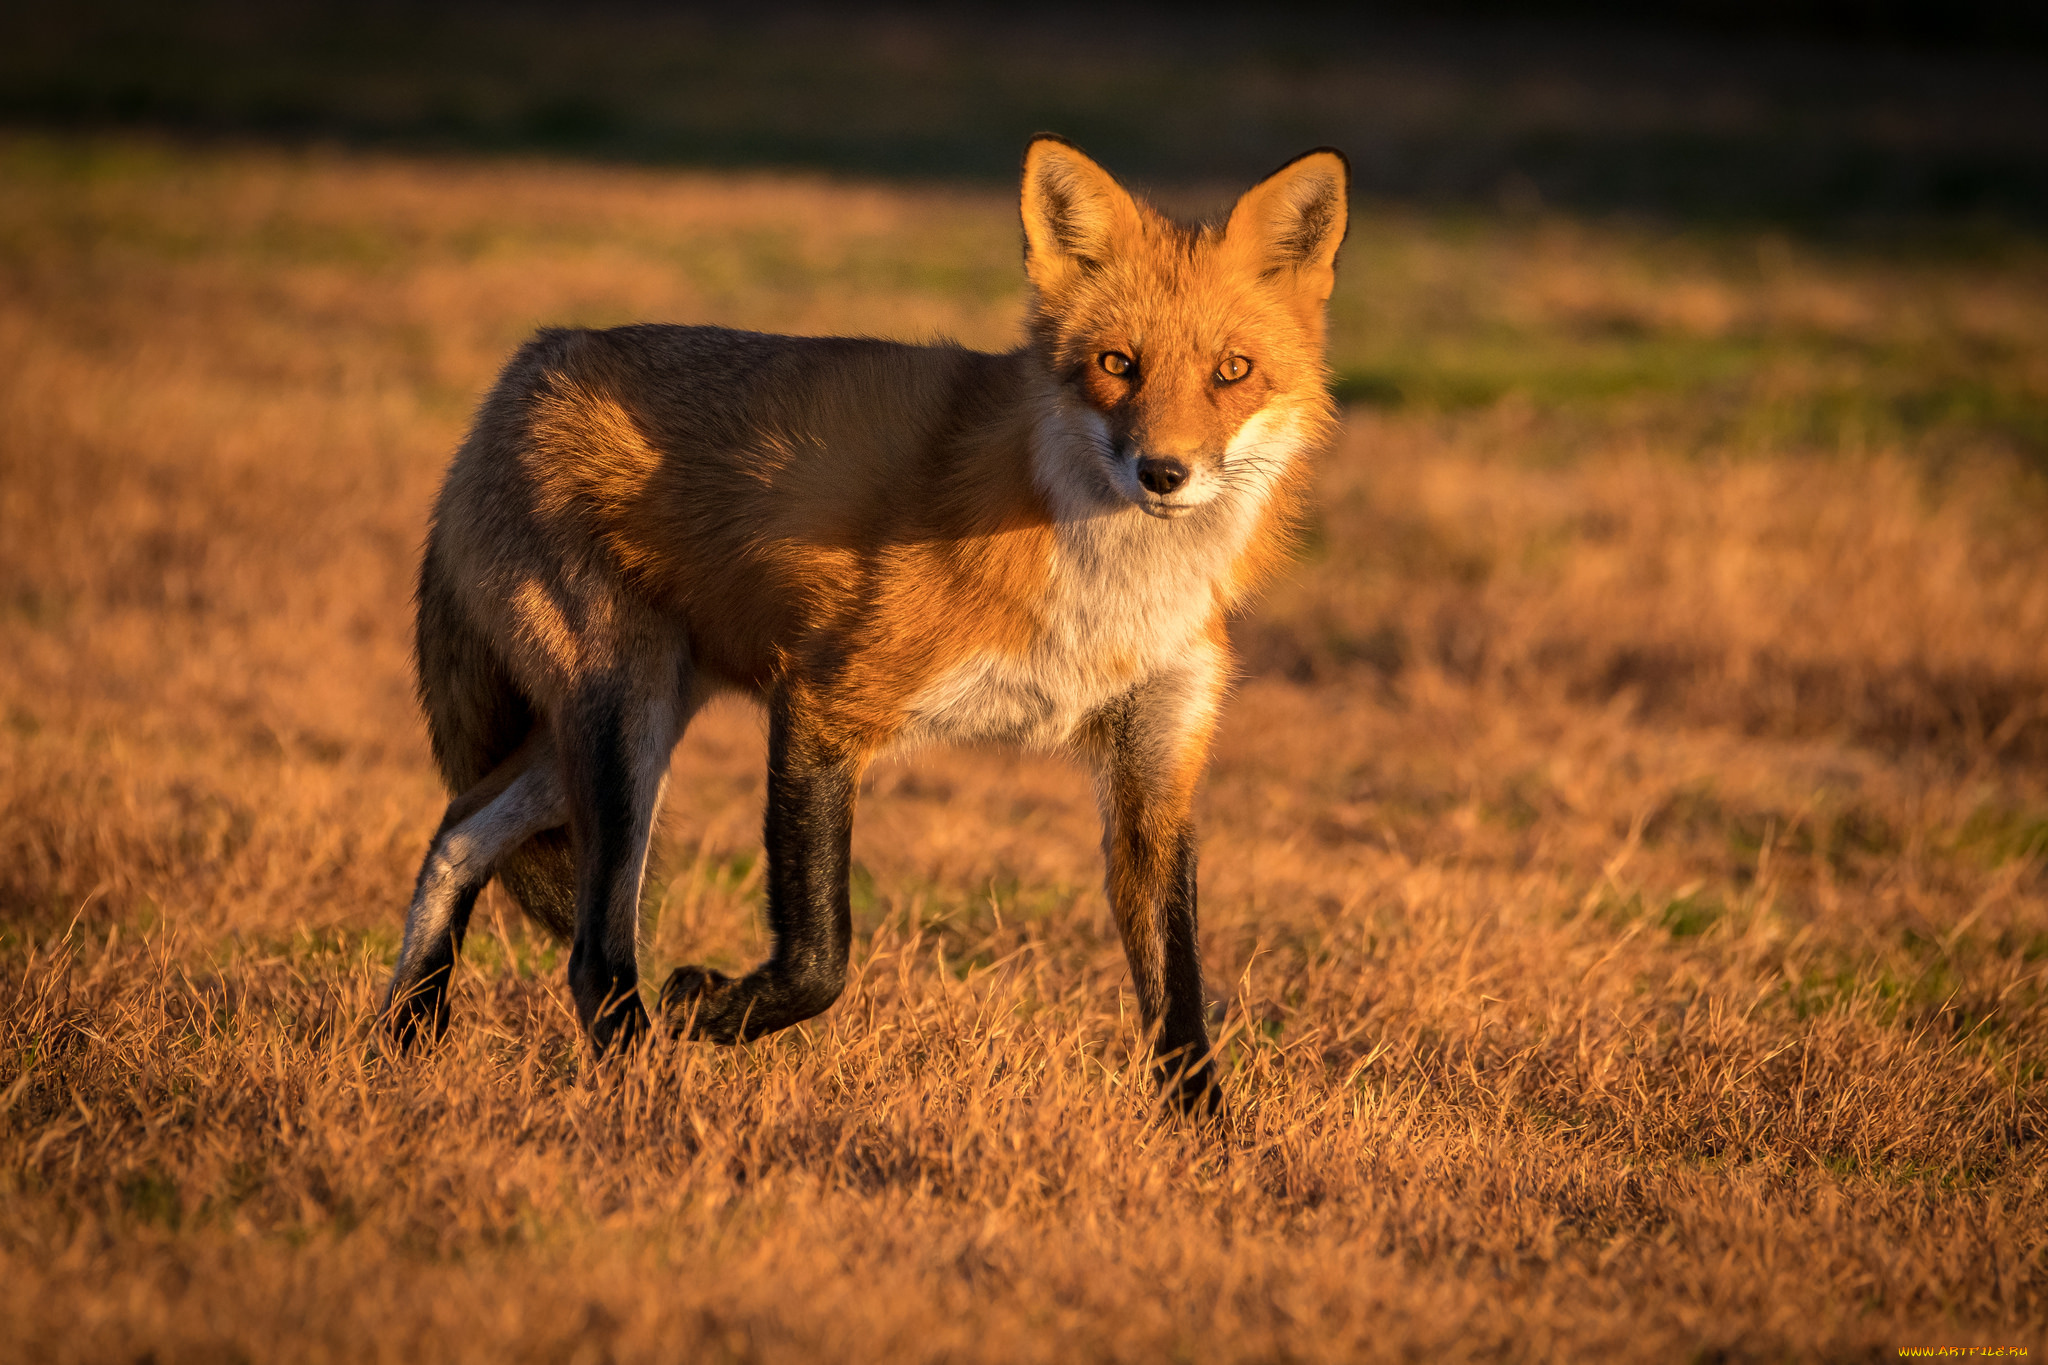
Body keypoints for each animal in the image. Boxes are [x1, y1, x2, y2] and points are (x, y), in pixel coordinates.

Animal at [385, 139, 1351, 1113]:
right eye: (1118, 364)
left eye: (1232, 372)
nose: (1164, 472)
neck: (1105, 593)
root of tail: (530, 360)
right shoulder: (825, 700)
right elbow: (823, 952)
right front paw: (716, 1007)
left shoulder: (1155, 770)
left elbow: (1182, 1008)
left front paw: (1208, 1139)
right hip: (625, 724)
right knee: (589, 953)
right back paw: (642, 1084)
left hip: (617, 732)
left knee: (458, 828)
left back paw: (403, 1034)